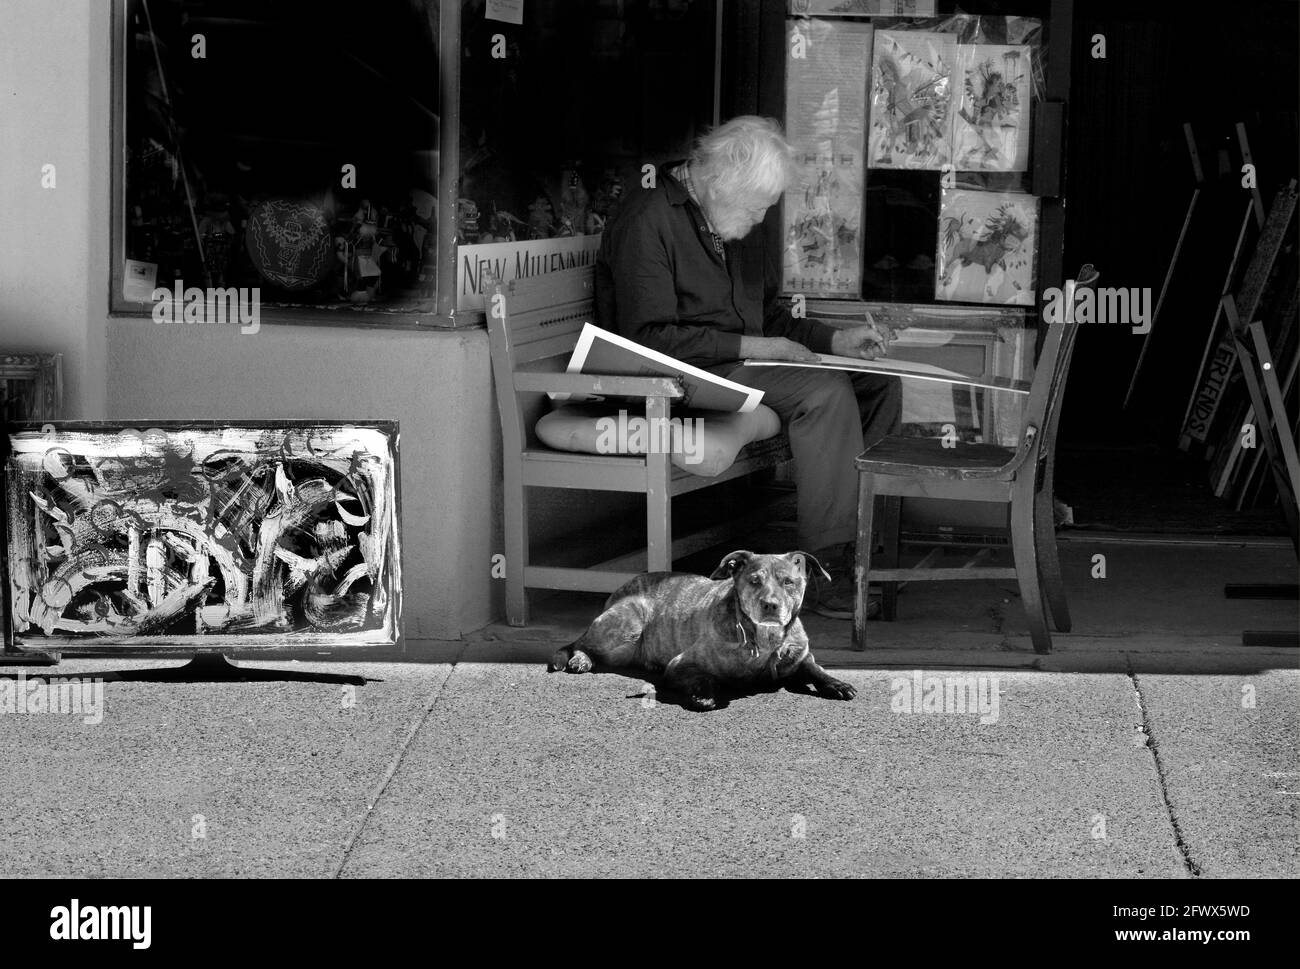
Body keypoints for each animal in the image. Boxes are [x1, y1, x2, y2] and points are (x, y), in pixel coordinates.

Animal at [546, 551, 857, 712]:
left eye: (788, 582)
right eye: (754, 580)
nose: (770, 605)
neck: (763, 639)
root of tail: (621, 588)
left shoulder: (800, 657)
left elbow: (815, 669)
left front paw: (837, 684)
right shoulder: (679, 665)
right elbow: (706, 676)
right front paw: (704, 694)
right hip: (627, 624)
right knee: (580, 643)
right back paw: (580, 659)